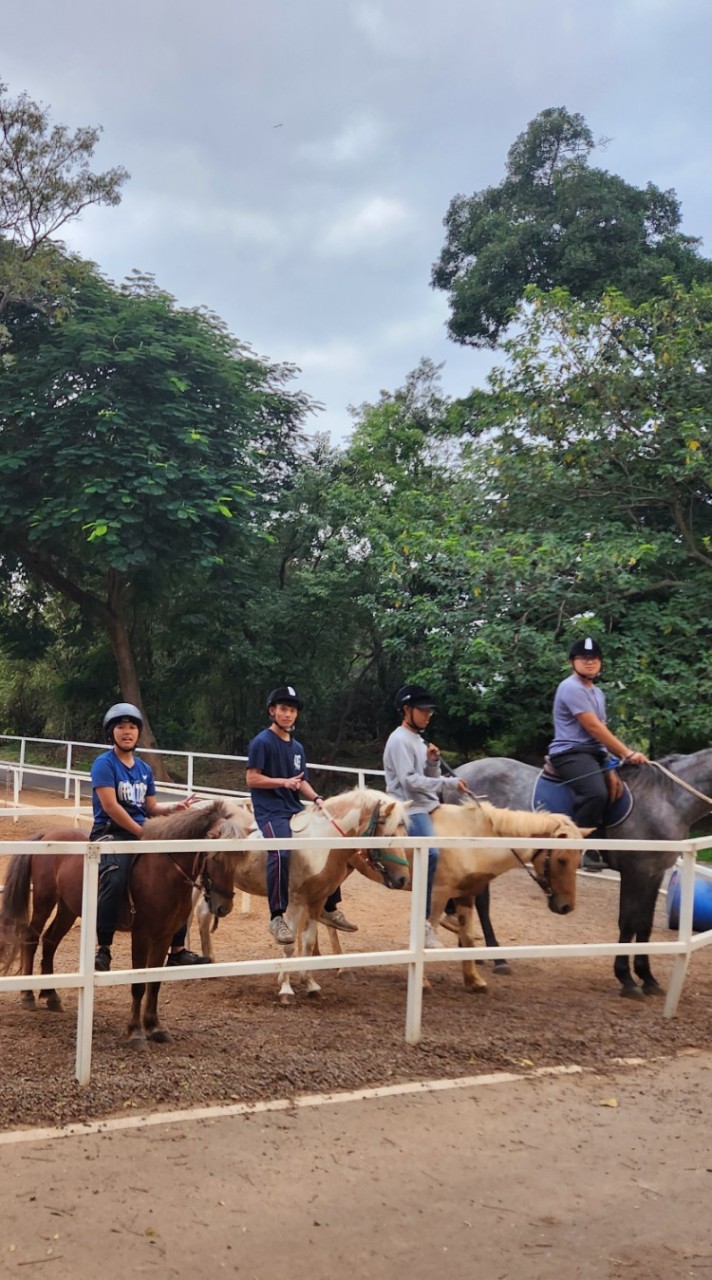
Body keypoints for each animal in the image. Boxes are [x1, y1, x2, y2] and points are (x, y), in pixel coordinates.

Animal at [0, 803, 254, 1044]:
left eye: (239, 858)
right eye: (216, 857)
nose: (224, 907)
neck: (163, 872)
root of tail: (47, 834)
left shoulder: (164, 935)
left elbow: (154, 982)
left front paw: (155, 1027)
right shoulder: (141, 935)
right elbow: (138, 983)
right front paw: (136, 1032)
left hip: (67, 907)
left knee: (51, 940)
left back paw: (51, 995)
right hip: (45, 900)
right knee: (31, 938)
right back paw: (28, 994)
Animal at [412, 803, 583, 993]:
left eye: (578, 862)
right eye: (561, 860)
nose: (567, 906)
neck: (468, 840)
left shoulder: (466, 894)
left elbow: (467, 936)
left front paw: (474, 980)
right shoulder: (437, 894)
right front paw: (423, 982)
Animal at [455, 747, 712, 998]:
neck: (667, 799)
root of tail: (458, 775)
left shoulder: (654, 873)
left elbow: (644, 924)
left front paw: (647, 978)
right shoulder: (635, 871)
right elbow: (628, 922)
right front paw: (627, 979)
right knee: (480, 901)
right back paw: (495, 957)